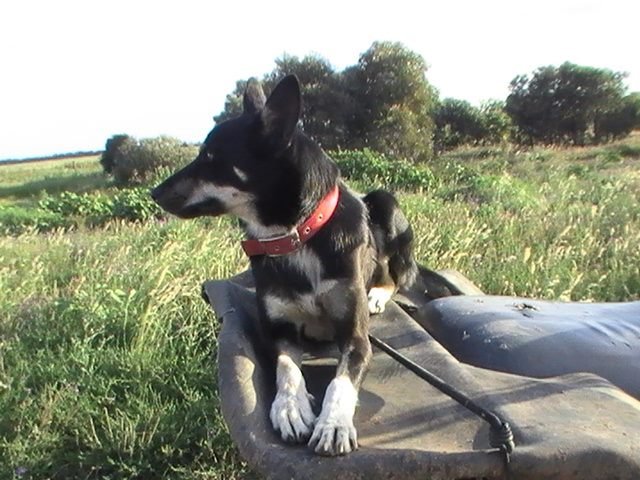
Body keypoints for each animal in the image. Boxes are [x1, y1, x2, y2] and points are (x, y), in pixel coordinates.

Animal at [152, 76, 418, 458]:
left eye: (211, 158)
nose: (154, 193)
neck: (293, 234)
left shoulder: (356, 338)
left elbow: (340, 383)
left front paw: (332, 423)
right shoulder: (279, 331)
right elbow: (287, 369)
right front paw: (290, 408)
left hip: (385, 201)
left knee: (394, 273)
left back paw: (378, 294)